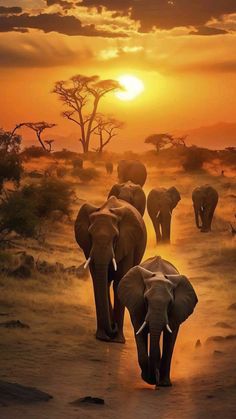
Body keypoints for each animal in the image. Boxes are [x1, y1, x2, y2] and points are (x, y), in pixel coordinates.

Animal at [74, 197, 147, 344]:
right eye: (90, 235)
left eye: (115, 237)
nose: (113, 327)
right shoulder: (88, 247)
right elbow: (98, 281)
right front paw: (102, 337)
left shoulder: (127, 243)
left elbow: (120, 282)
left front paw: (118, 341)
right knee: (105, 283)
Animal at [118, 254, 197, 388]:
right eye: (146, 300)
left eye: (170, 303)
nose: (155, 377)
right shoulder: (137, 305)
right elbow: (140, 331)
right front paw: (148, 379)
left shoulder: (176, 310)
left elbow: (170, 338)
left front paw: (163, 384)